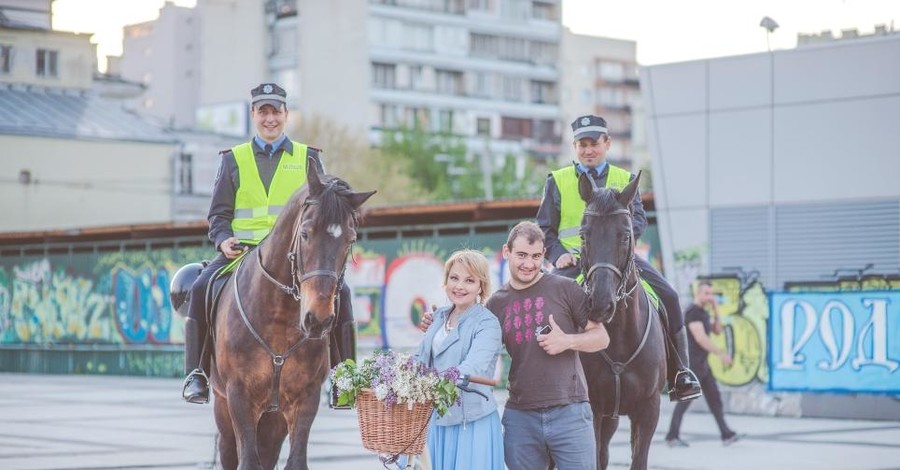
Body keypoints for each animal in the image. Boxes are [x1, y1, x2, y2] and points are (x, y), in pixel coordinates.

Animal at [209, 159, 374, 470]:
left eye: (350, 239)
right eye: (306, 233)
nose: (318, 319)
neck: (280, 318)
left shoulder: (305, 399)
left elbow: (296, 461)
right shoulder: (239, 397)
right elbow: (247, 461)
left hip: (273, 418)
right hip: (224, 408)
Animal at [576, 172, 668, 470]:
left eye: (626, 235)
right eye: (584, 235)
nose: (600, 304)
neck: (618, 337)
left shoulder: (649, 410)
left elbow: (638, 460)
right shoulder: (592, 407)